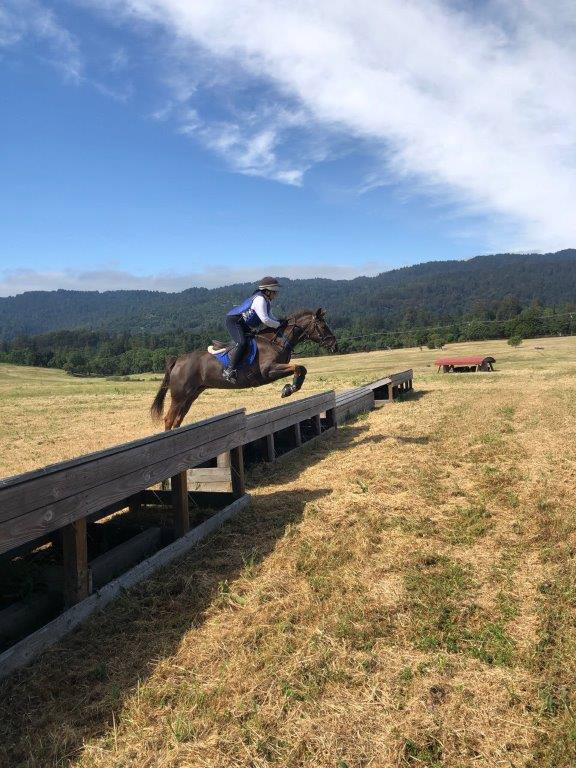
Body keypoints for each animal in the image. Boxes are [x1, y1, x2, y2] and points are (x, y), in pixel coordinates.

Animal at [151, 306, 338, 428]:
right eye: (323, 326)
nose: (334, 344)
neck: (276, 341)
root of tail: (178, 360)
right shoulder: (269, 370)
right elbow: (298, 367)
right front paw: (288, 389)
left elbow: (301, 368)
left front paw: (289, 388)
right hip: (179, 395)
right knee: (169, 419)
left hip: (192, 394)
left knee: (178, 419)